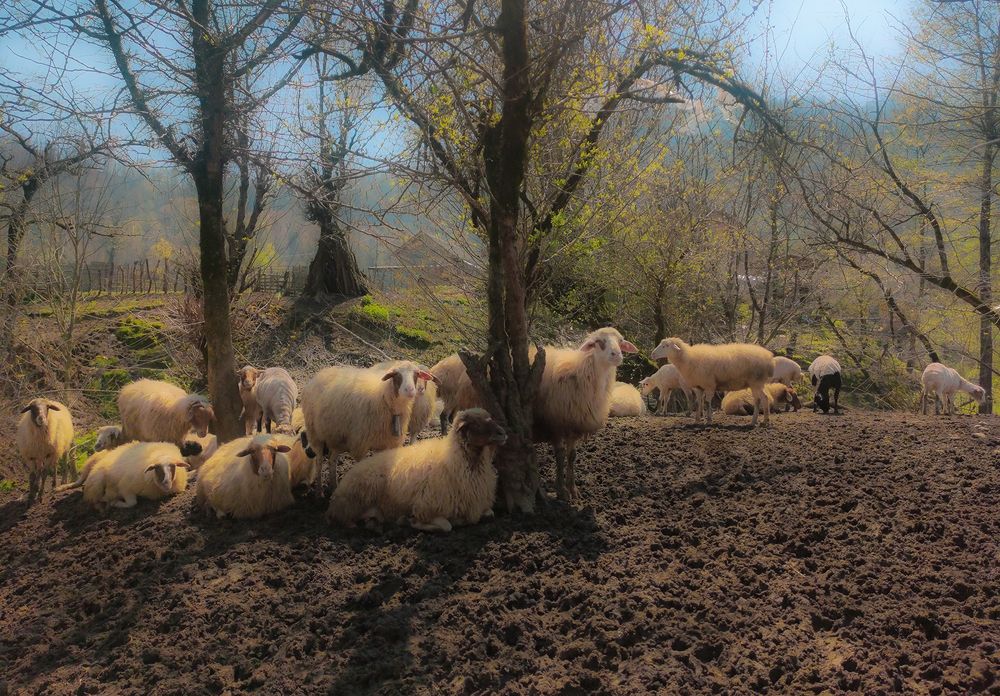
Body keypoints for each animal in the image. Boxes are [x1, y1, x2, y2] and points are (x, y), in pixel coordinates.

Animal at [60, 442, 190, 512]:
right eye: (156, 468)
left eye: (173, 466)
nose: (166, 483)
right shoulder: (125, 487)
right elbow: (132, 503)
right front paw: (115, 503)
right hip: (96, 482)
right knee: (93, 499)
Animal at [301, 361, 433, 495]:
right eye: (396, 375)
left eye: (417, 374)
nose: (410, 390)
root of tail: (322, 373)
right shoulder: (360, 443)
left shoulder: (386, 443)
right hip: (315, 434)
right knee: (319, 462)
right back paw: (319, 492)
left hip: (336, 436)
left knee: (332, 460)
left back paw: (334, 487)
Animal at [327, 408, 506, 532]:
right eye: (476, 424)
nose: (503, 433)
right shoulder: (425, 507)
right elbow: (446, 525)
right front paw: (410, 521)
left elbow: (490, 514)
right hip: (360, 496)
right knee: (344, 519)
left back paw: (375, 524)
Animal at [533, 327, 638, 502]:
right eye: (598, 342)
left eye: (621, 341)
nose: (616, 355)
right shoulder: (556, 423)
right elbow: (560, 455)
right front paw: (561, 491)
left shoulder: (575, 423)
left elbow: (572, 456)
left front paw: (573, 490)